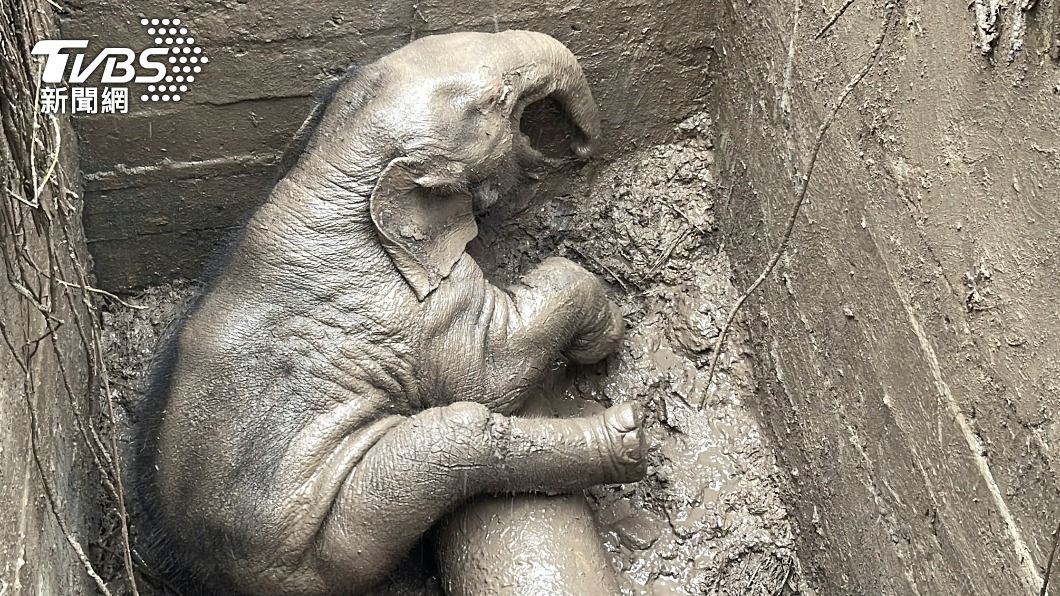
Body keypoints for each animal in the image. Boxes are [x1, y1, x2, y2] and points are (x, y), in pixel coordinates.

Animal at [133, 30, 645, 596]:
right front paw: (604, 336)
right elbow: (490, 373)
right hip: (325, 539)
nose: (582, 150)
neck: (332, 163)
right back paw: (626, 436)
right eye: (498, 95)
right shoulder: (417, 307)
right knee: (456, 437)